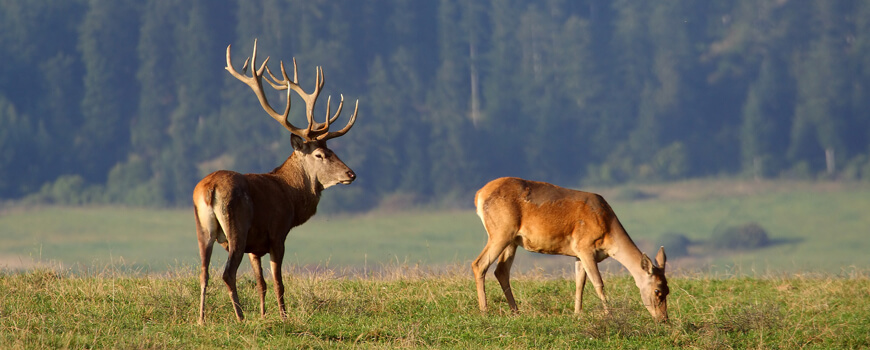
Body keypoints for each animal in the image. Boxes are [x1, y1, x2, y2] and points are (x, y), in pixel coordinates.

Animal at [196, 40, 360, 322]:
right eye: (320, 154)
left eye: (332, 150)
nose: (351, 174)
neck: (290, 195)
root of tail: (209, 190)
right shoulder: (277, 233)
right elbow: (278, 281)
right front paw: (283, 316)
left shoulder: (255, 247)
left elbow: (261, 283)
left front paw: (264, 315)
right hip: (237, 226)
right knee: (227, 273)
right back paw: (240, 317)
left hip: (203, 229)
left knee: (203, 273)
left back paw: (201, 319)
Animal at [474, 176, 672, 322]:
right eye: (657, 290)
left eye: (668, 289)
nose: (663, 319)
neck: (608, 230)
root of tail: (479, 194)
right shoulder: (584, 247)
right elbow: (598, 283)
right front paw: (609, 314)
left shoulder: (578, 254)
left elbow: (579, 283)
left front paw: (577, 313)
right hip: (501, 232)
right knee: (479, 264)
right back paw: (484, 311)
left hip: (512, 240)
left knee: (501, 270)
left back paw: (515, 311)